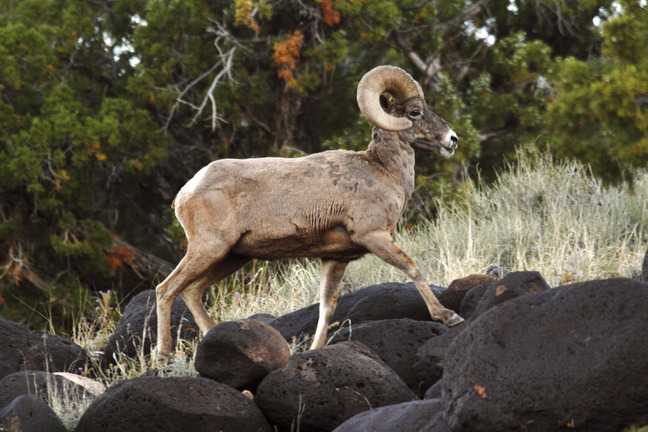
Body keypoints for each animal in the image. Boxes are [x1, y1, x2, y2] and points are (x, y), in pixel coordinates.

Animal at [155, 65, 464, 362]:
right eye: (415, 112)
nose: (453, 139)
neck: (382, 171)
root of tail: (185, 193)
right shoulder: (374, 236)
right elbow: (411, 267)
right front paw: (449, 316)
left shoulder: (336, 259)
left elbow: (327, 307)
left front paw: (315, 350)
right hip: (209, 249)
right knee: (166, 289)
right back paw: (164, 355)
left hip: (231, 257)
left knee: (192, 291)